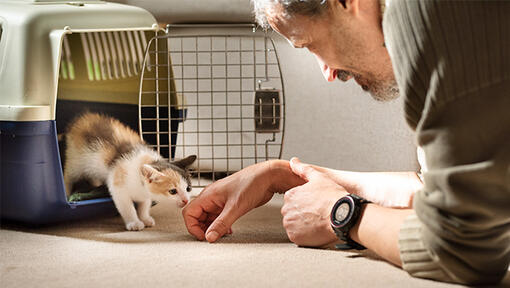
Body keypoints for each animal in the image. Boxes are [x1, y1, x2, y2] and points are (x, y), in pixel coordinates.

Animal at [64, 111, 196, 231]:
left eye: (188, 188)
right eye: (172, 191)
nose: (186, 200)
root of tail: (82, 118)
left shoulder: (145, 194)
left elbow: (144, 205)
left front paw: (145, 218)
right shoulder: (118, 185)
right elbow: (127, 207)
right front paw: (134, 223)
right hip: (76, 159)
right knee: (69, 175)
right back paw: (66, 192)